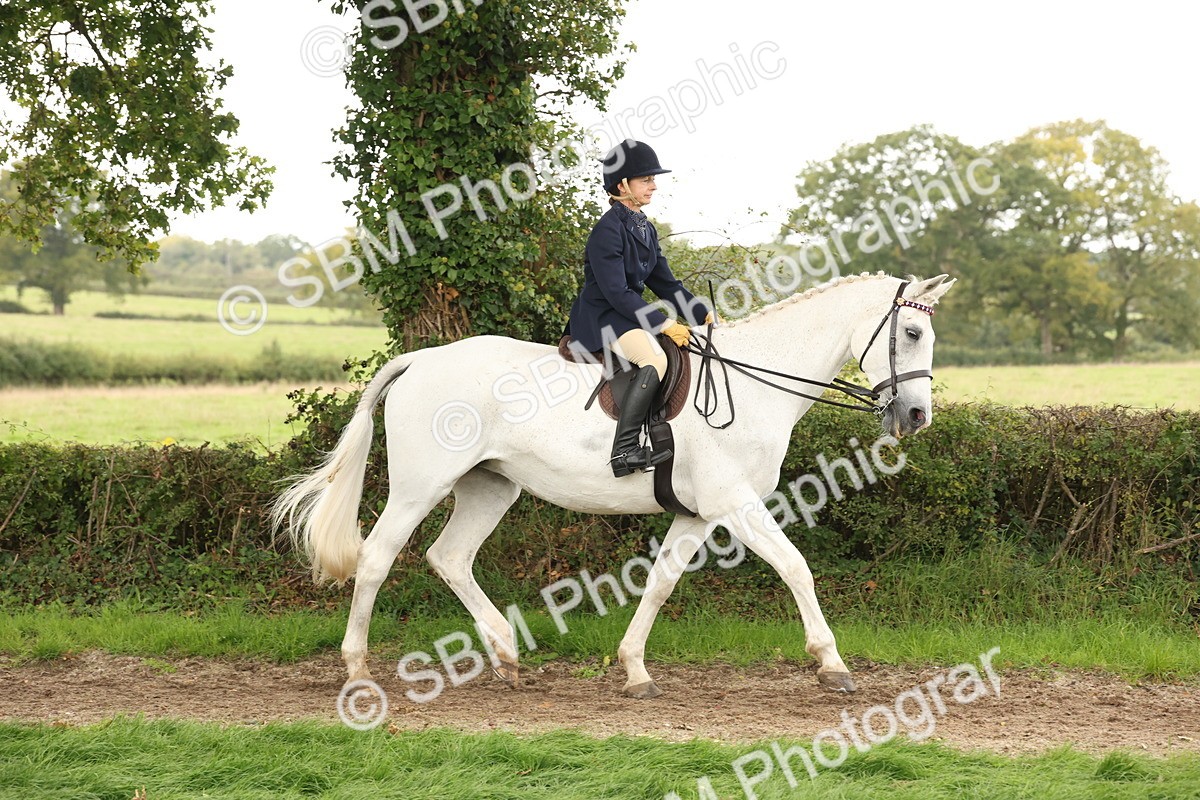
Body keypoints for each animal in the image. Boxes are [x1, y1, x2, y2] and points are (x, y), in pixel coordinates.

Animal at [272, 272, 955, 698]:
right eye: (912, 334)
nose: (916, 417)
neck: (756, 381)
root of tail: (423, 359)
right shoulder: (735, 503)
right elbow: (796, 568)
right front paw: (832, 665)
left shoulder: (697, 513)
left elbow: (660, 583)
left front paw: (634, 671)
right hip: (421, 485)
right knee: (377, 559)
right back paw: (357, 670)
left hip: (491, 487)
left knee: (451, 557)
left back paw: (506, 657)